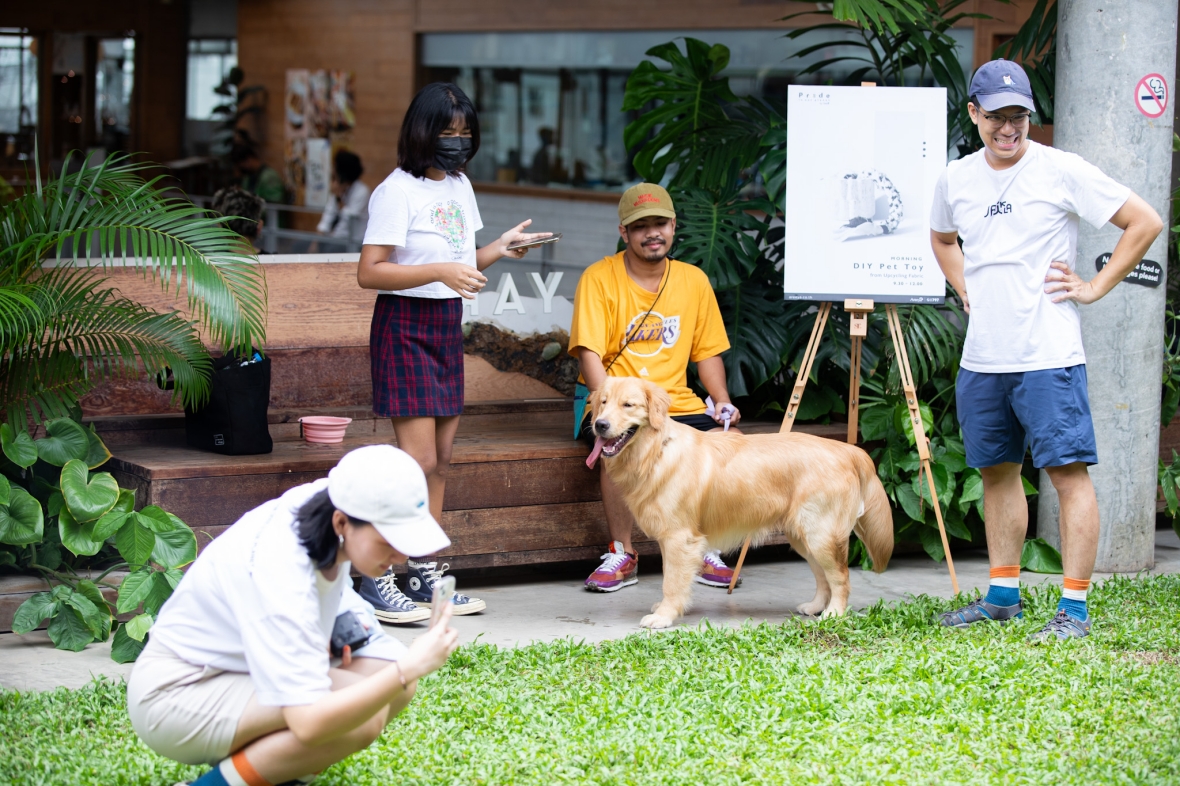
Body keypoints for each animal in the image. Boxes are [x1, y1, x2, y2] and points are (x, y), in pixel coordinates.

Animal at [585, 377, 887, 627]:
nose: (600, 424)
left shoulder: (679, 538)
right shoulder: (670, 538)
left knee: (840, 577)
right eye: (603, 402)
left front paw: (664, 616)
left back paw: (834, 613)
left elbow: (671, 581)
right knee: (823, 577)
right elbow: (671, 577)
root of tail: (848, 450)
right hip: (804, 537)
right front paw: (667, 609)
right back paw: (815, 607)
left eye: (628, 405)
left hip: (820, 535)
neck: (657, 449)